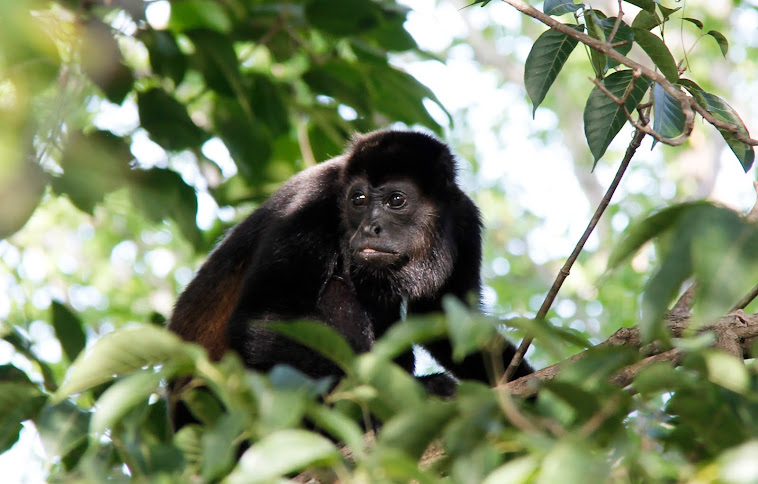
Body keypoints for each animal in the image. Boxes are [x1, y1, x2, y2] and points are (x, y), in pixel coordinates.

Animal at [168, 130, 536, 422]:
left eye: (396, 200)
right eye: (358, 199)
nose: (370, 227)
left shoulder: (464, 217)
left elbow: (448, 322)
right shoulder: (311, 206)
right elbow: (266, 317)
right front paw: (412, 392)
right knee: (336, 291)